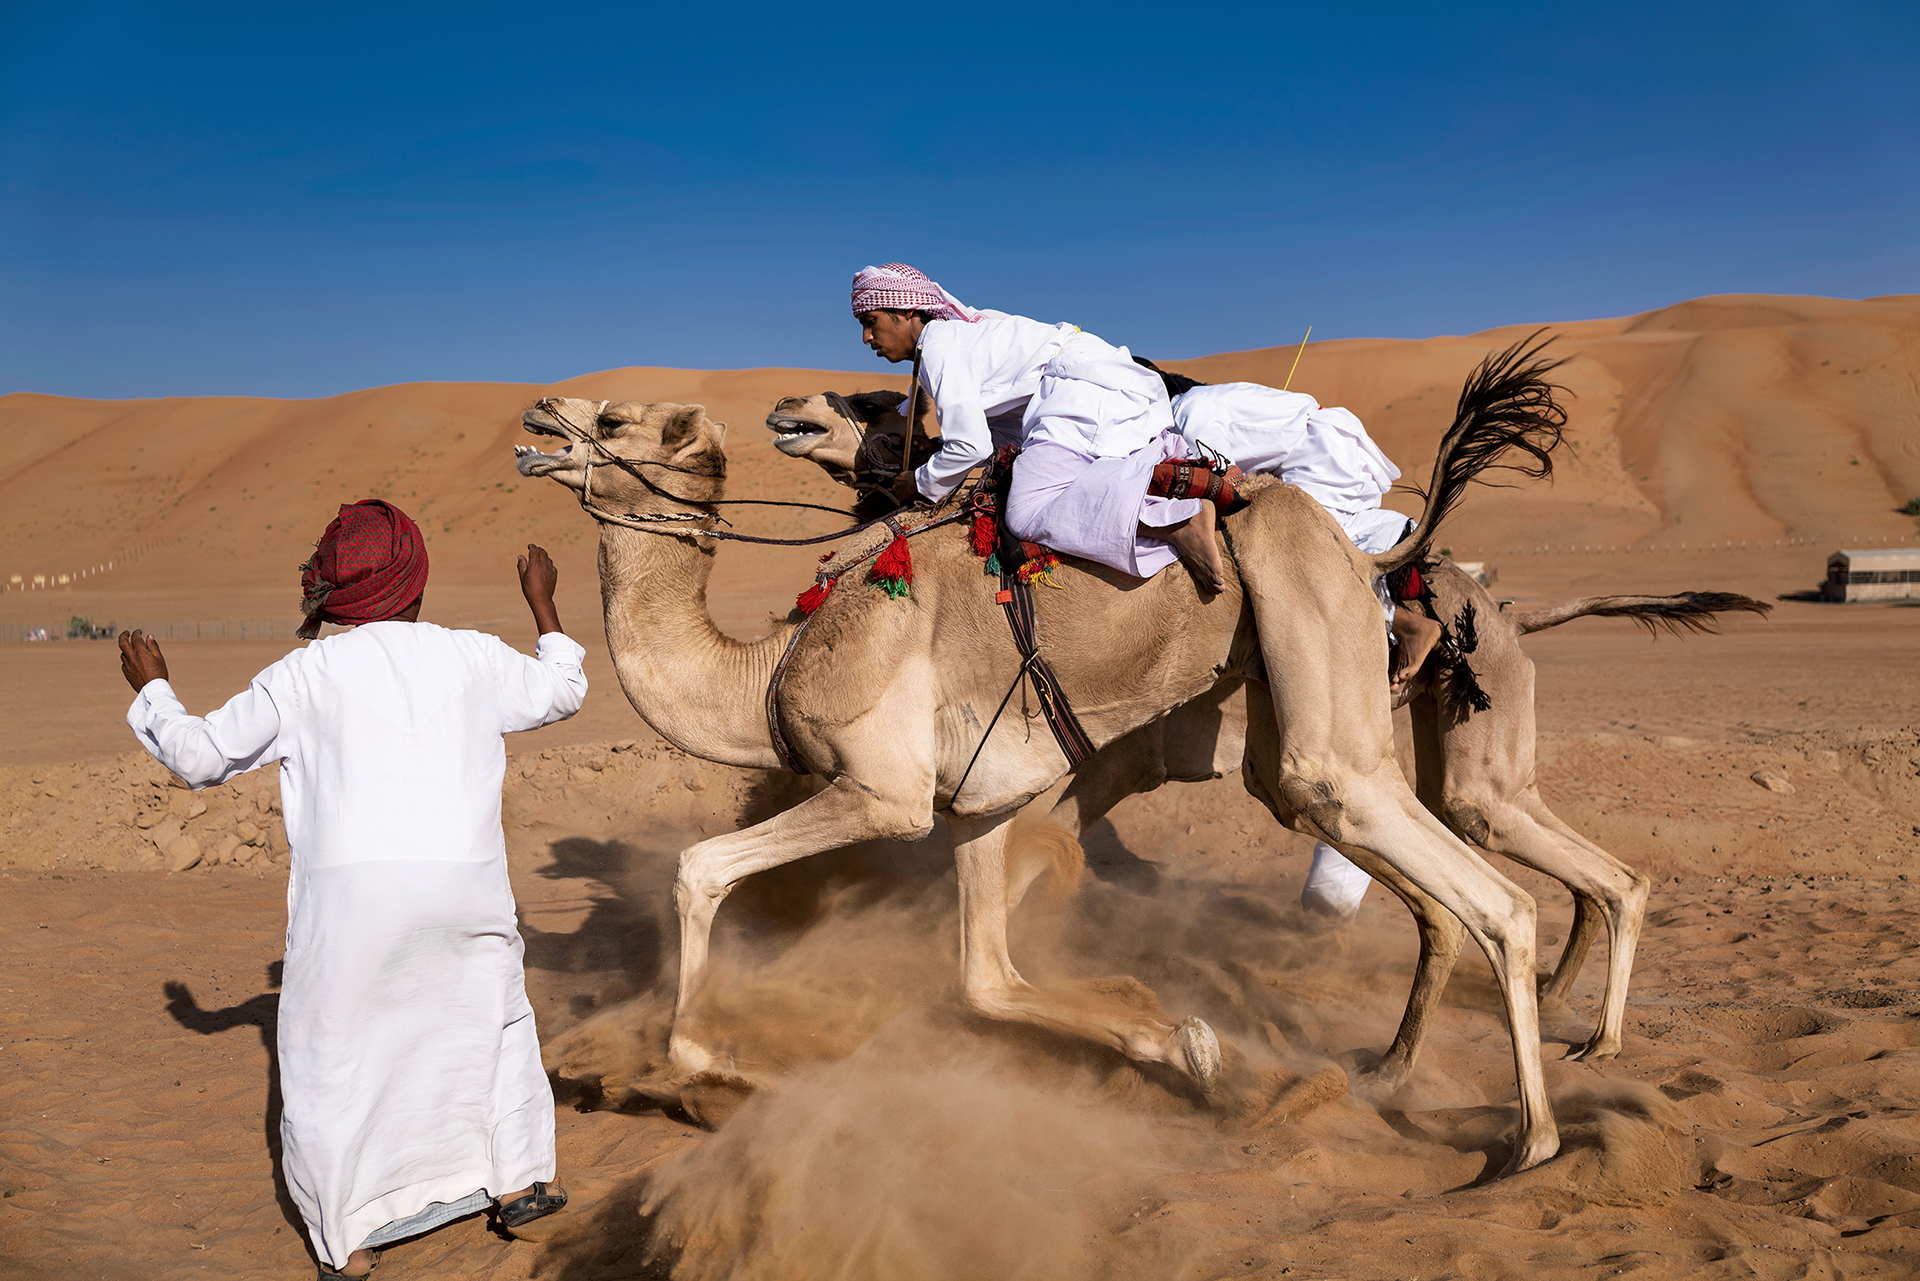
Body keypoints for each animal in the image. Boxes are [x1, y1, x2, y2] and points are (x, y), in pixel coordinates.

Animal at [515, 340, 1572, 1171]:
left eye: (613, 417)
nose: (535, 411)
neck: (772, 662)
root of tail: (1377, 549)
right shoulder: (976, 802)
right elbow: (985, 977)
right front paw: (1185, 1043)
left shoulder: (883, 790)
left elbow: (699, 869)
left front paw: (712, 1061)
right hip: (1279, 693)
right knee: (1344, 821)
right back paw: (1401, 1074)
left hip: (1307, 616)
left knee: (1478, 884)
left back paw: (1529, 1139)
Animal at [765, 387, 1770, 1062]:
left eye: (873, 404)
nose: (786, 406)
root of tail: (1505, 608)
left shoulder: (1084, 752)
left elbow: (1031, 853)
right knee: (1482, 847)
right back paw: (1485, 1036)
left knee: (1499, 841)